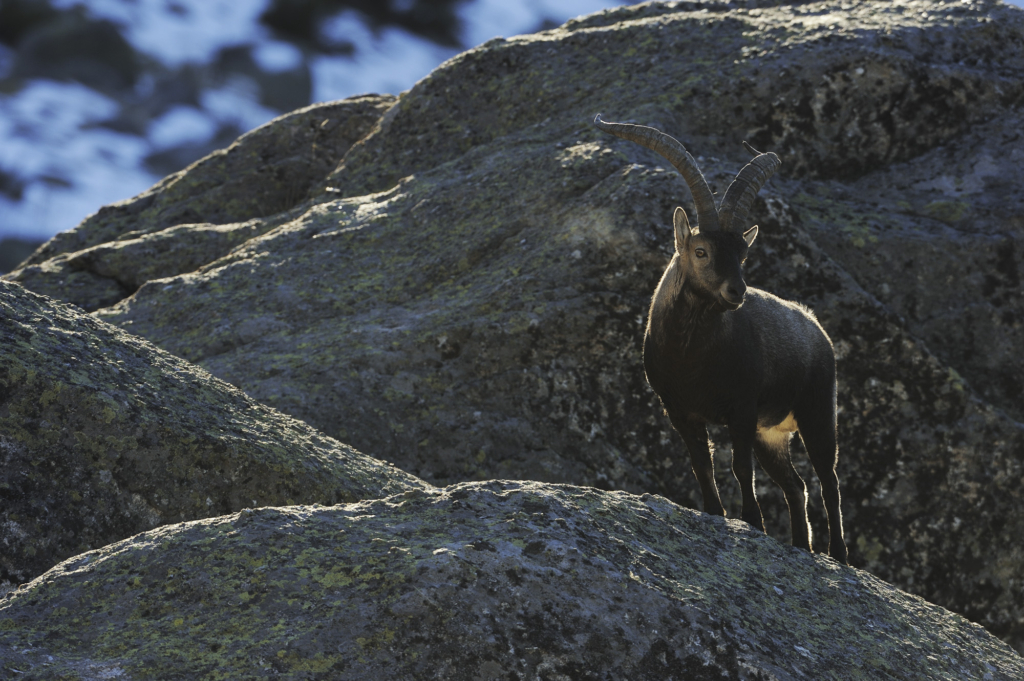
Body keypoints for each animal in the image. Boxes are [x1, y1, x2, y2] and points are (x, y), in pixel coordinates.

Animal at [593, 115, 847, 561]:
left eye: (742, 254)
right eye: (701, 251)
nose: (737, 292)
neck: (690, 356)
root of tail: (816, 327)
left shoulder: (741, 408)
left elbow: (738, 467)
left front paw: (752, 522)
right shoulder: (679, 410)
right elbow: (702, 464)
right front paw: (715, 514)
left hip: (817, 410)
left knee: (828, 480)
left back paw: (838, 554)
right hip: (771, 433)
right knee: (795, 485)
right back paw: (802, 546)